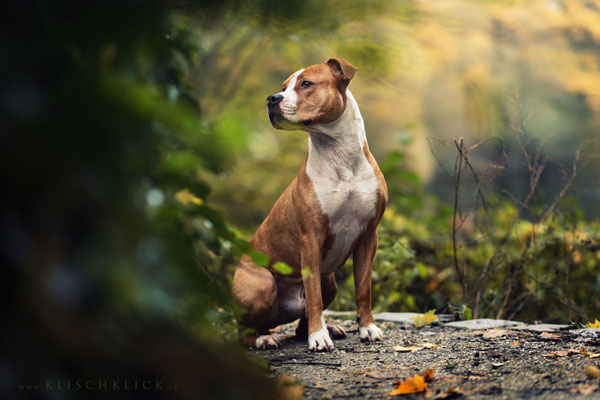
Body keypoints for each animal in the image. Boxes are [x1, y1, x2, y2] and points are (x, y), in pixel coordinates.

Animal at [232, 57, 386, 352]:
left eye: (306, 84)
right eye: (283, 87)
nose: (272, 98)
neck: (340, 156)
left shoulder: (368, 236)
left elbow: (363, 288)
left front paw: (367, 328)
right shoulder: (311, 238)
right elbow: (314, 297)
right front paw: (319, 337)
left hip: (330, 281)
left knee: (301, 320)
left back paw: (329, 329)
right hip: (262, 285)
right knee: (245, 329)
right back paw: (265, 338)